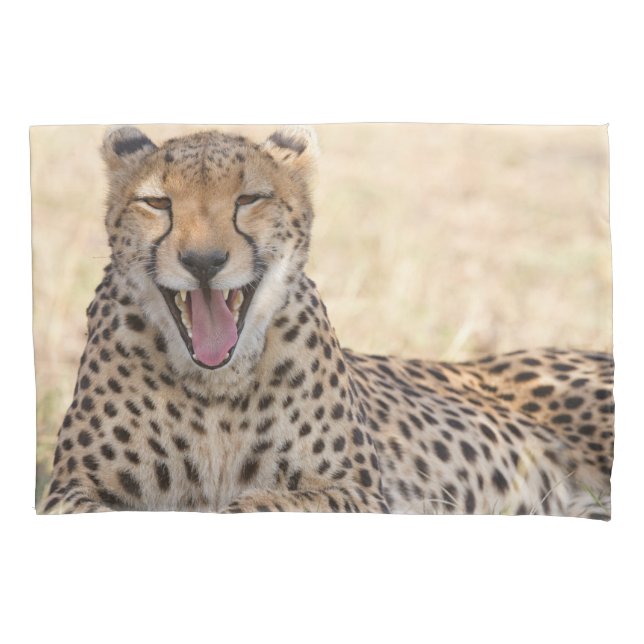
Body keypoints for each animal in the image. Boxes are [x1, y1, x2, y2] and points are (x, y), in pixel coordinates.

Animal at [39, 125, 614, 518]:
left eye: (249, 199)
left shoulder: (355, 492)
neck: (216, 389)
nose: (204, 262)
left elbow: (264, 504)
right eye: (158, 202)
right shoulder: (69, 492)